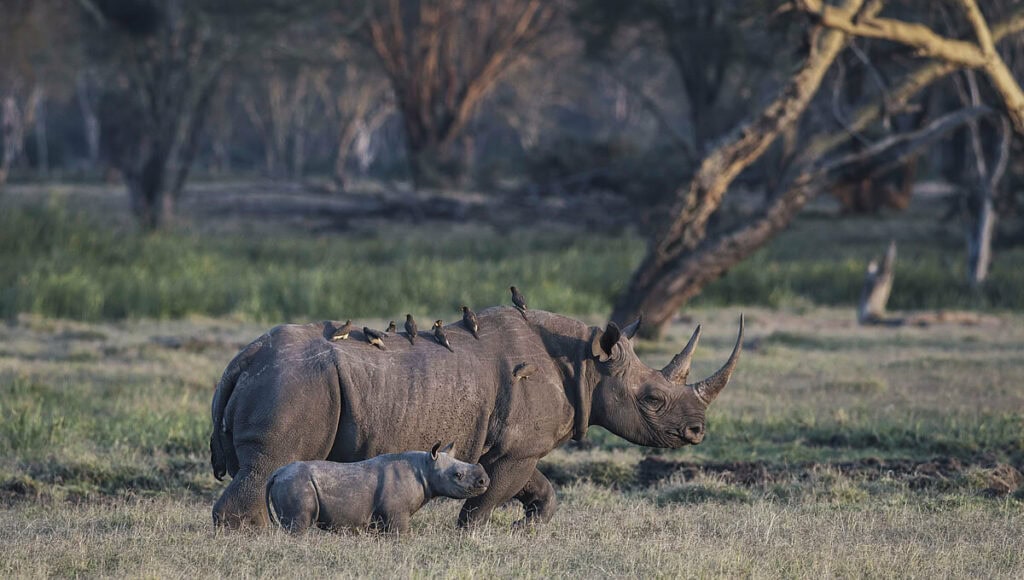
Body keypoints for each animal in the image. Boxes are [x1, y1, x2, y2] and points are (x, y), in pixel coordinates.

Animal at [210, 306, 742, 528]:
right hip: (296, 384)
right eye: (652, 399)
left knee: (254, 470)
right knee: (268, 465)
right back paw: (251, 539)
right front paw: (471, 536)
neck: (589, 363)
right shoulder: (519, 447)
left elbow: (532, 487)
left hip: (283, 379)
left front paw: (530, 528)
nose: (697, 431)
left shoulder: (513, 446)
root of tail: (245, 358)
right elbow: (490, 497)